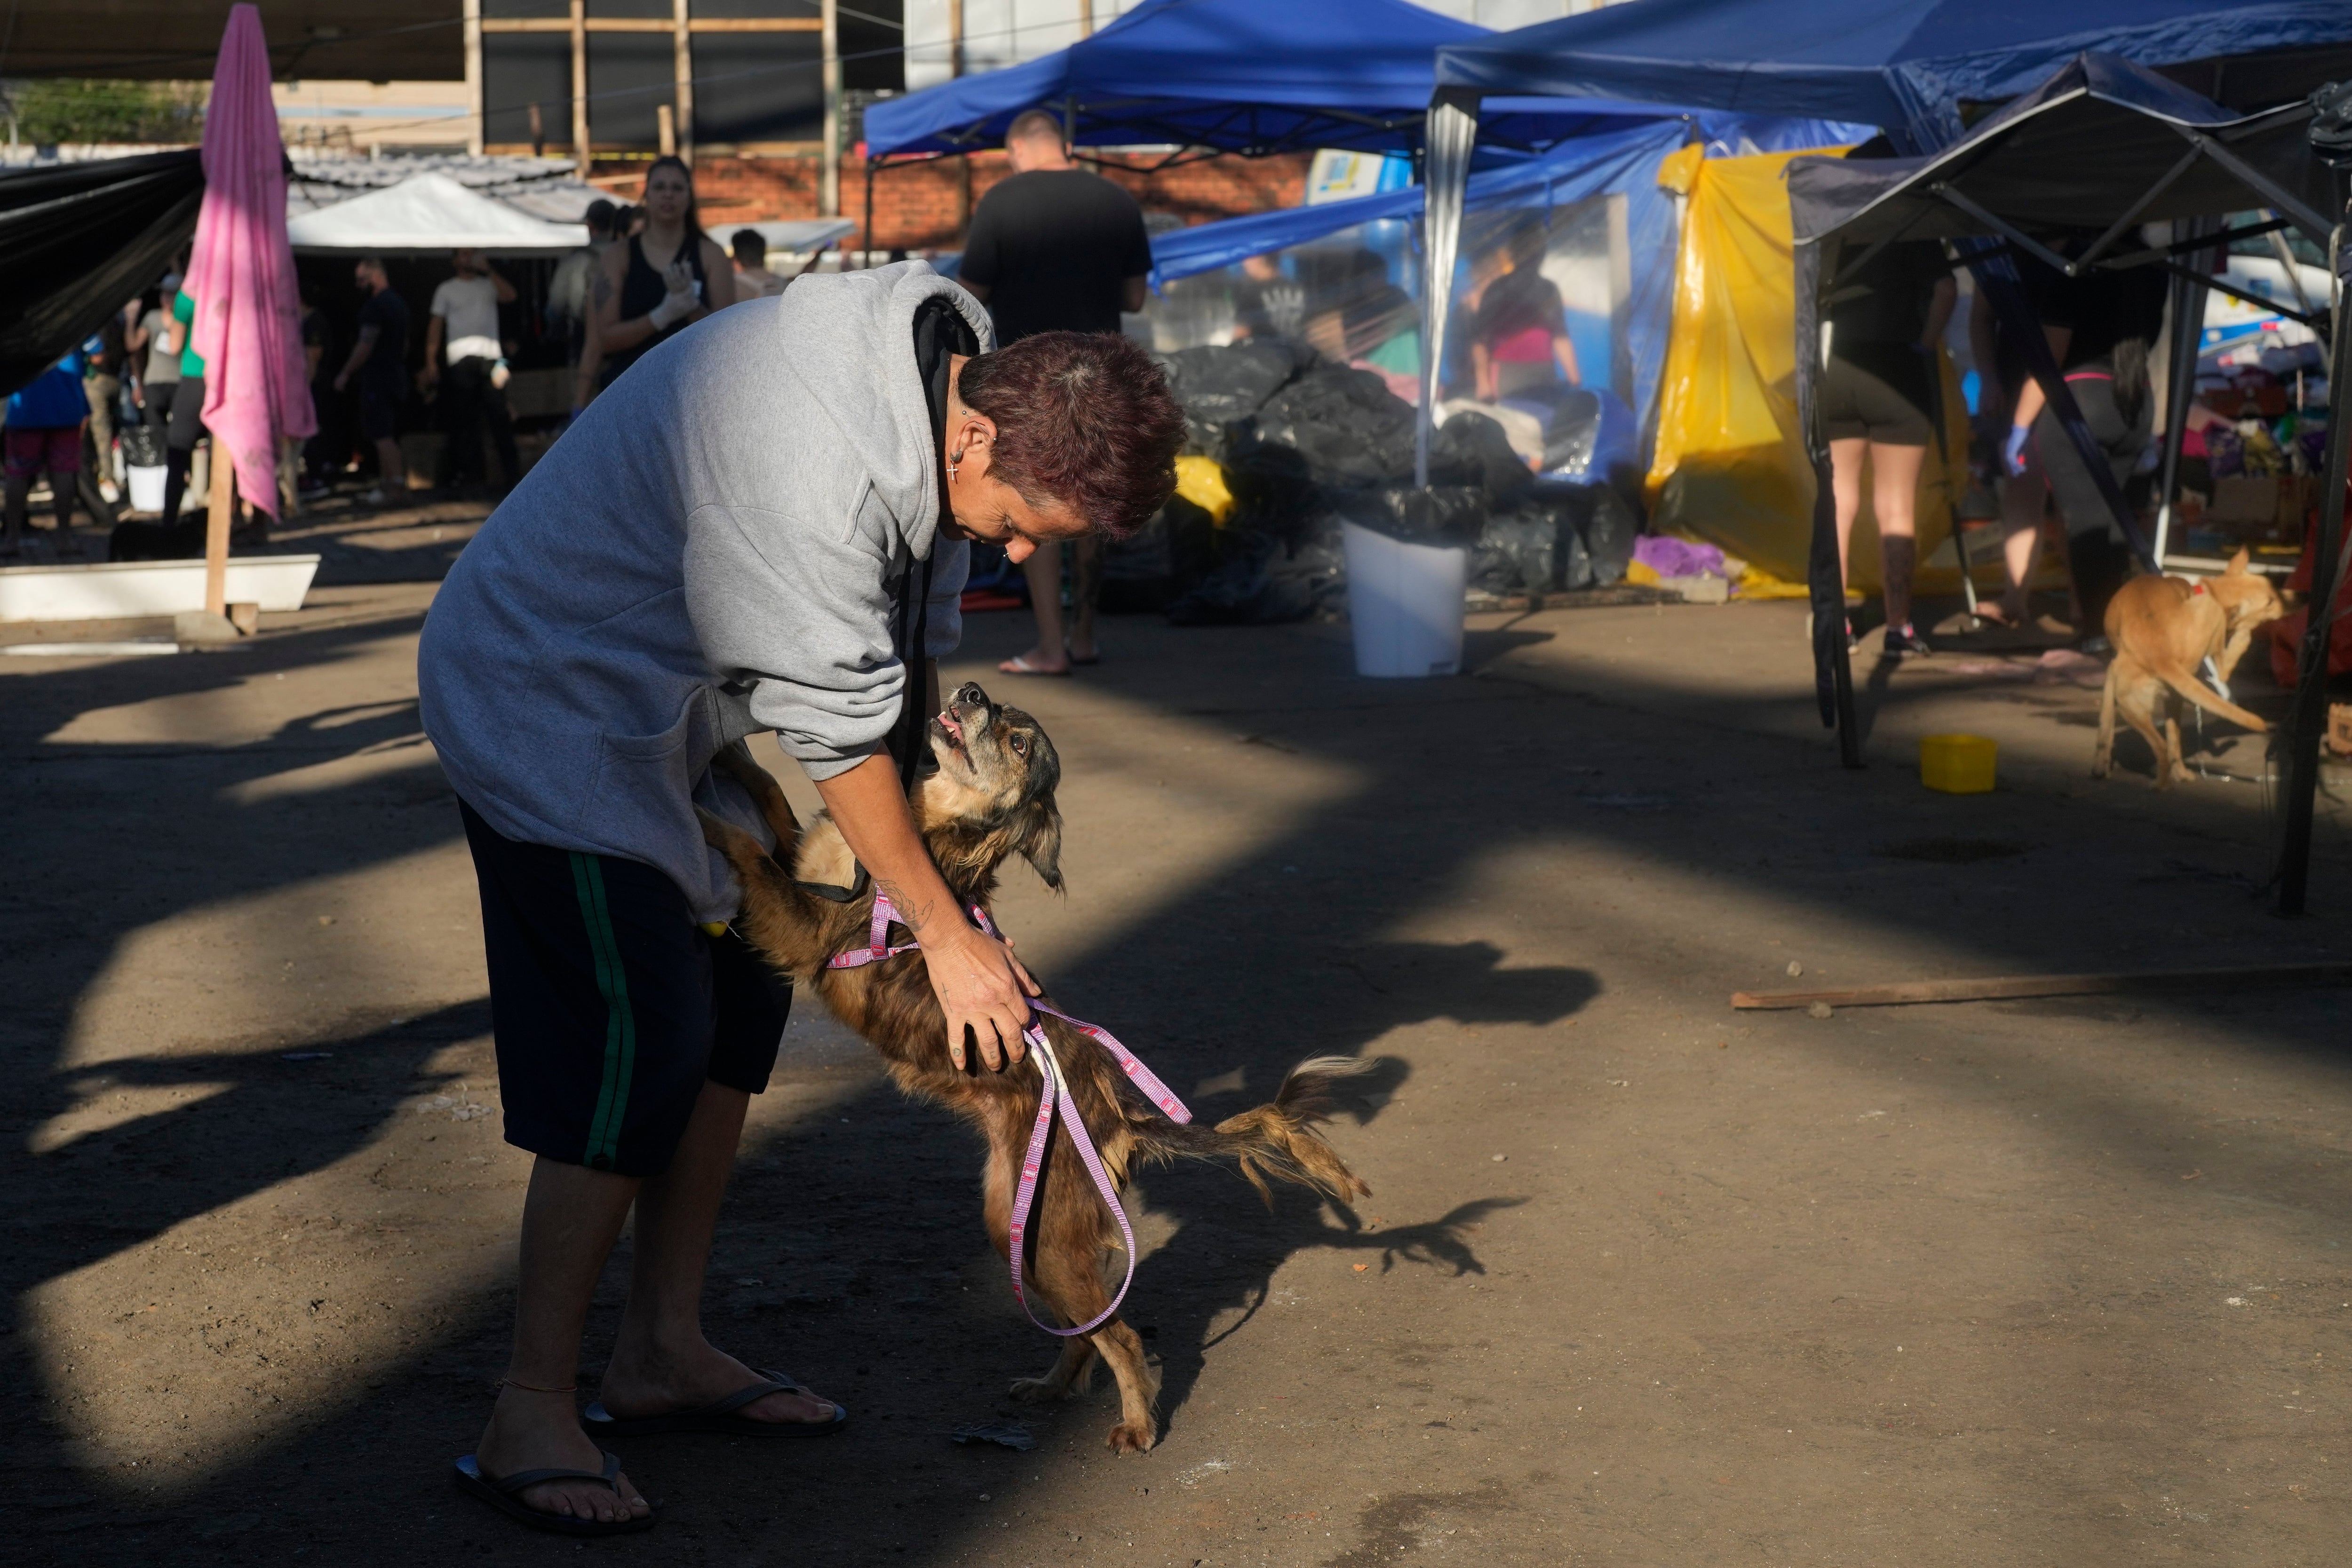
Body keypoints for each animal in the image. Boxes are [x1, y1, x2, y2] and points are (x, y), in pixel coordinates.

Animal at [687, 681, 1374, 1457]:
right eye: (997, 708)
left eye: (1019, 743)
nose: (971, 690)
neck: (930, 831)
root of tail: (1120, 1116)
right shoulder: (804, 866)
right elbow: (773, 801)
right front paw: (732, 755)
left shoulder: (807, 927)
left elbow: (747, 847)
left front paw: (699, 815)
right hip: (1016, 1222)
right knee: (1086, 1330)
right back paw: (1051, 1388)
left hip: (1042, 1232)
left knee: (1122, 1335)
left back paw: (1138, 1424)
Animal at [2098, 552, 2277, 799]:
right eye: (2269, 600)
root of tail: (2160, 655)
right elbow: (2106, 727)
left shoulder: (2112, 673)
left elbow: (2105, 724)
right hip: (2170, 697)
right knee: (2174, 742)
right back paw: (2178, 775)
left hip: (2132, 709)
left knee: (2163, 747)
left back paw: (2161, 785)